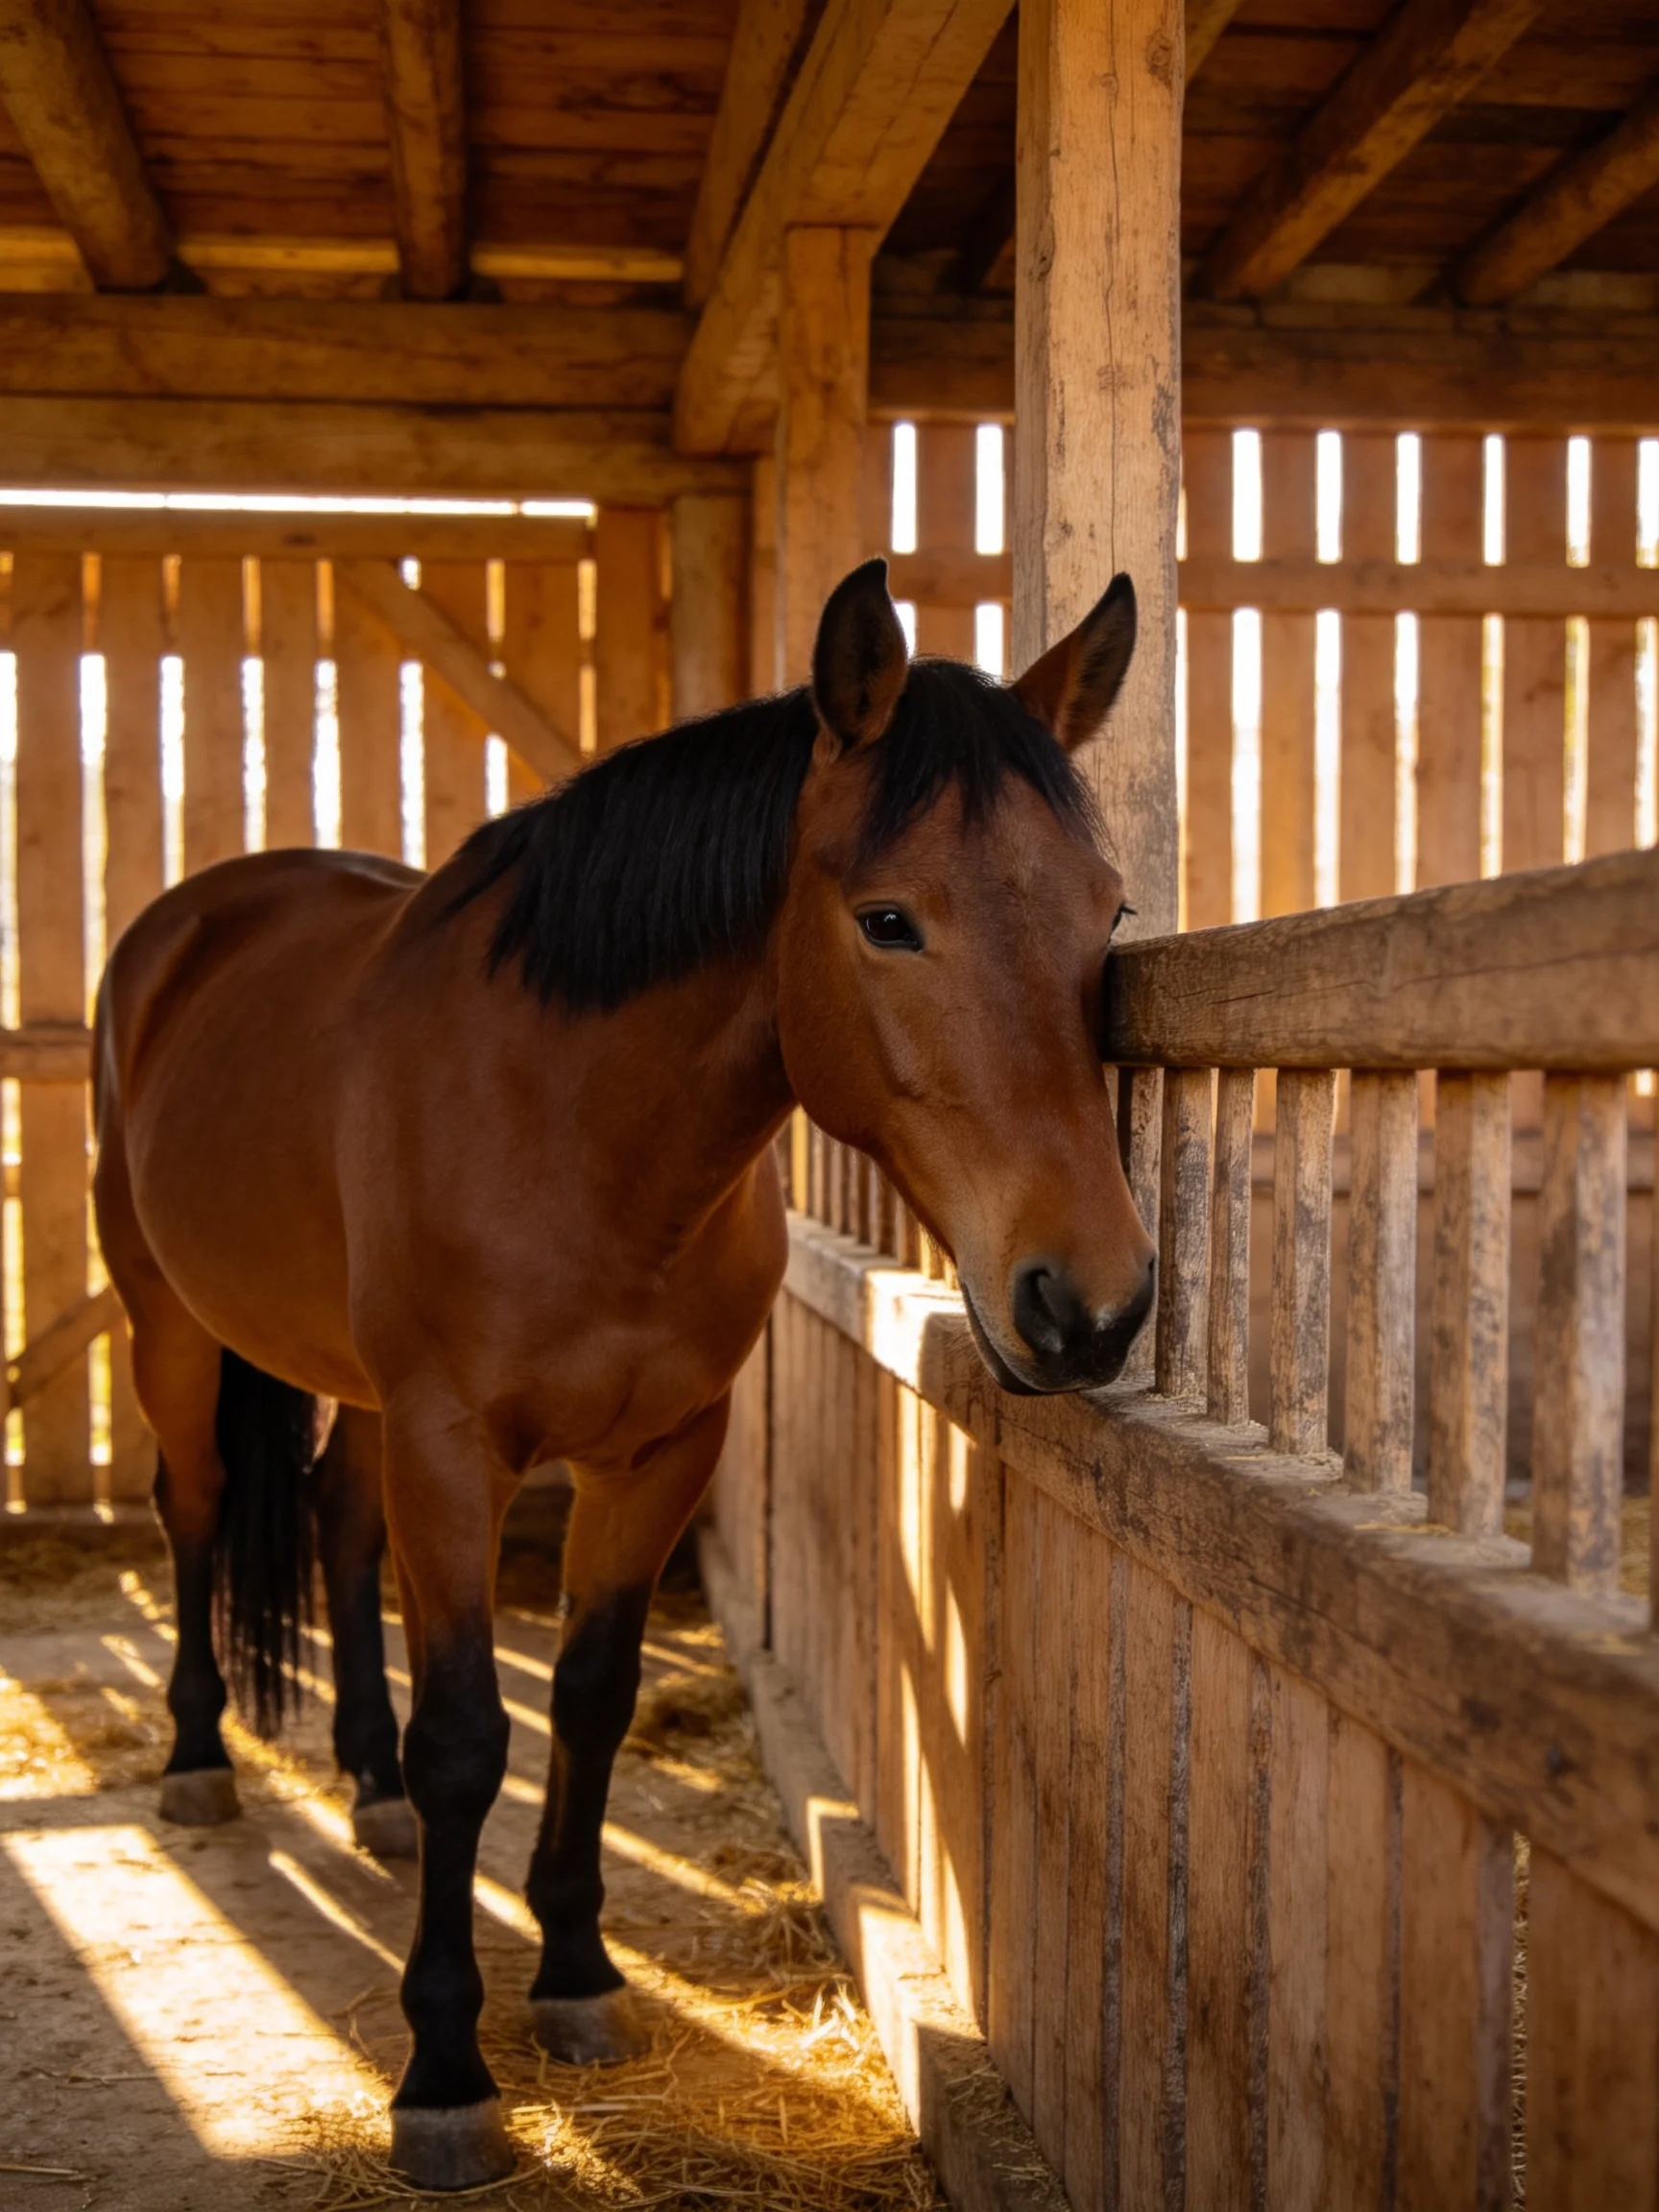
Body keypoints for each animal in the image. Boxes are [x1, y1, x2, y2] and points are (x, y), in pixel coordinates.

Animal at [91, 556, 1156, 2191]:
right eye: (889, 919)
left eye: (1109, 909)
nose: (1088, 1304)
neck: (577, 1129)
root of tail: (191, 919)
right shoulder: (455, 1448)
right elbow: (470, 1737)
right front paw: (447, 2071)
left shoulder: (662, 1450)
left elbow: (590, 1701)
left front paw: (579, 1975)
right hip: (167, 1326)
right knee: (198, 1506)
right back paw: (201, 1755)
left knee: (336, 1518)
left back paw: (365, 1790)